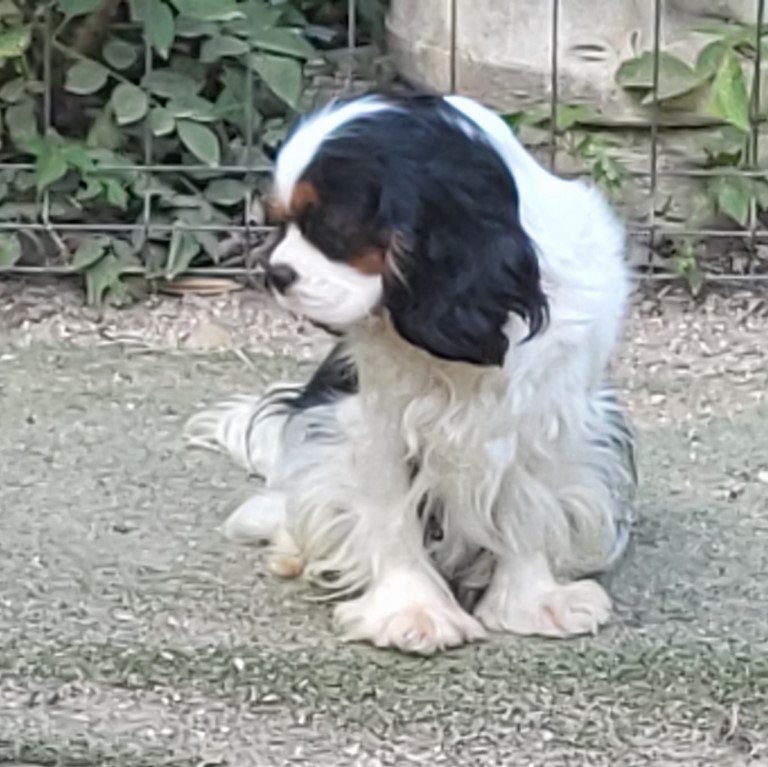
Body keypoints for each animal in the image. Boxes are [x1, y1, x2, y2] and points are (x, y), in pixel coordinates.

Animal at [186, 90, 636, 656]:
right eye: (278, 222)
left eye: (330, 226)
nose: (275, 273)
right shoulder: (372, 419)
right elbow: (389, 514)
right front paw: (412, 611)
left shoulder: (543, 413)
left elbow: (528, 509)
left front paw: (532, 603)